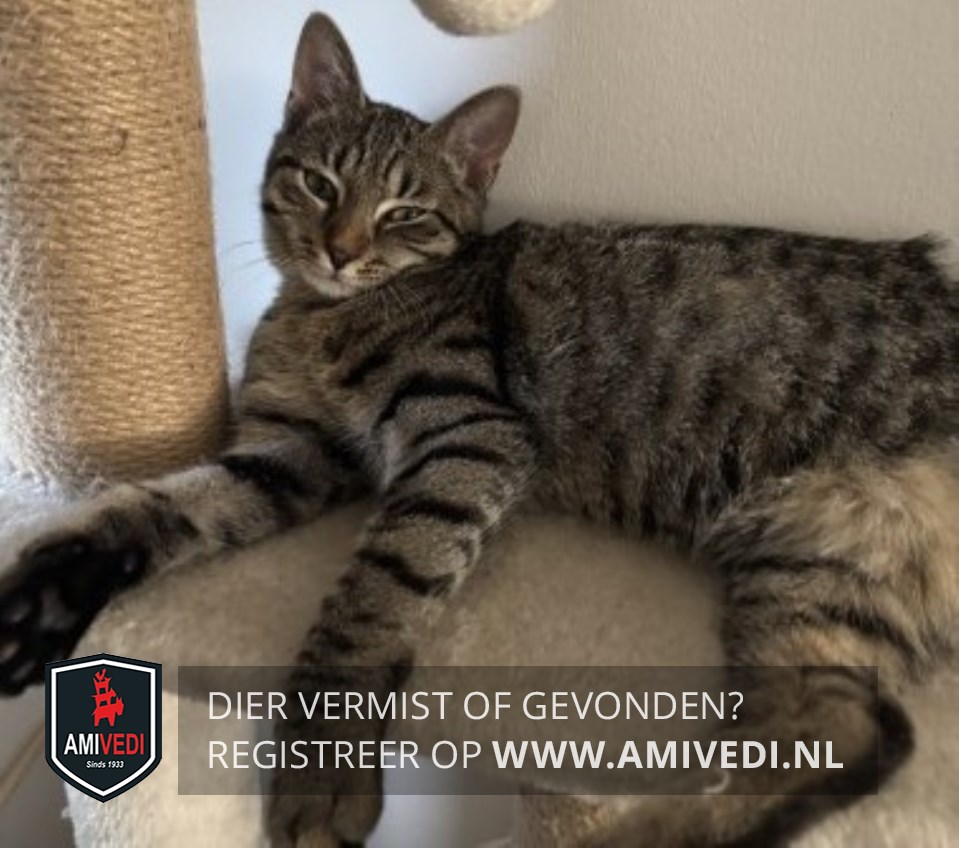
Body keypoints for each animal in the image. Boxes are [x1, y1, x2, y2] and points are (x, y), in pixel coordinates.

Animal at [2, 11, 958, 847]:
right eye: (320, 183)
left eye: (404, 213)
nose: (339, 249)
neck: (322, 316)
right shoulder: (291, 452)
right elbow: (165, 505)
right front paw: (48, 592)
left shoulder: (468, 433)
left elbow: (369, 599)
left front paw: (322, 767)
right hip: (826, 564)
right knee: (850, 731)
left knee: (849, 735)